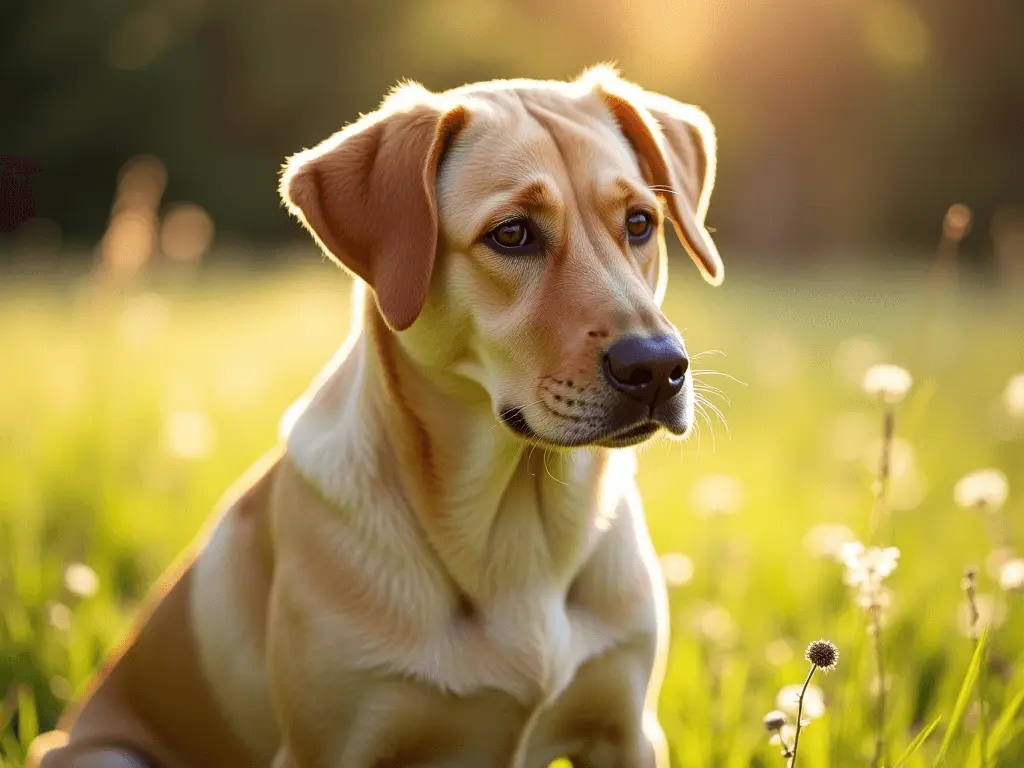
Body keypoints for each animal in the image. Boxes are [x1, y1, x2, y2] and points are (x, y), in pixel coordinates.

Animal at [28, 67, 724, 768]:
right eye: (512, 234)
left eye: (640, 223)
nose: (658, 367)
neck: (518, 534)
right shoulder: (328, 747)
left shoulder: (627, 732)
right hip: (99, 753)